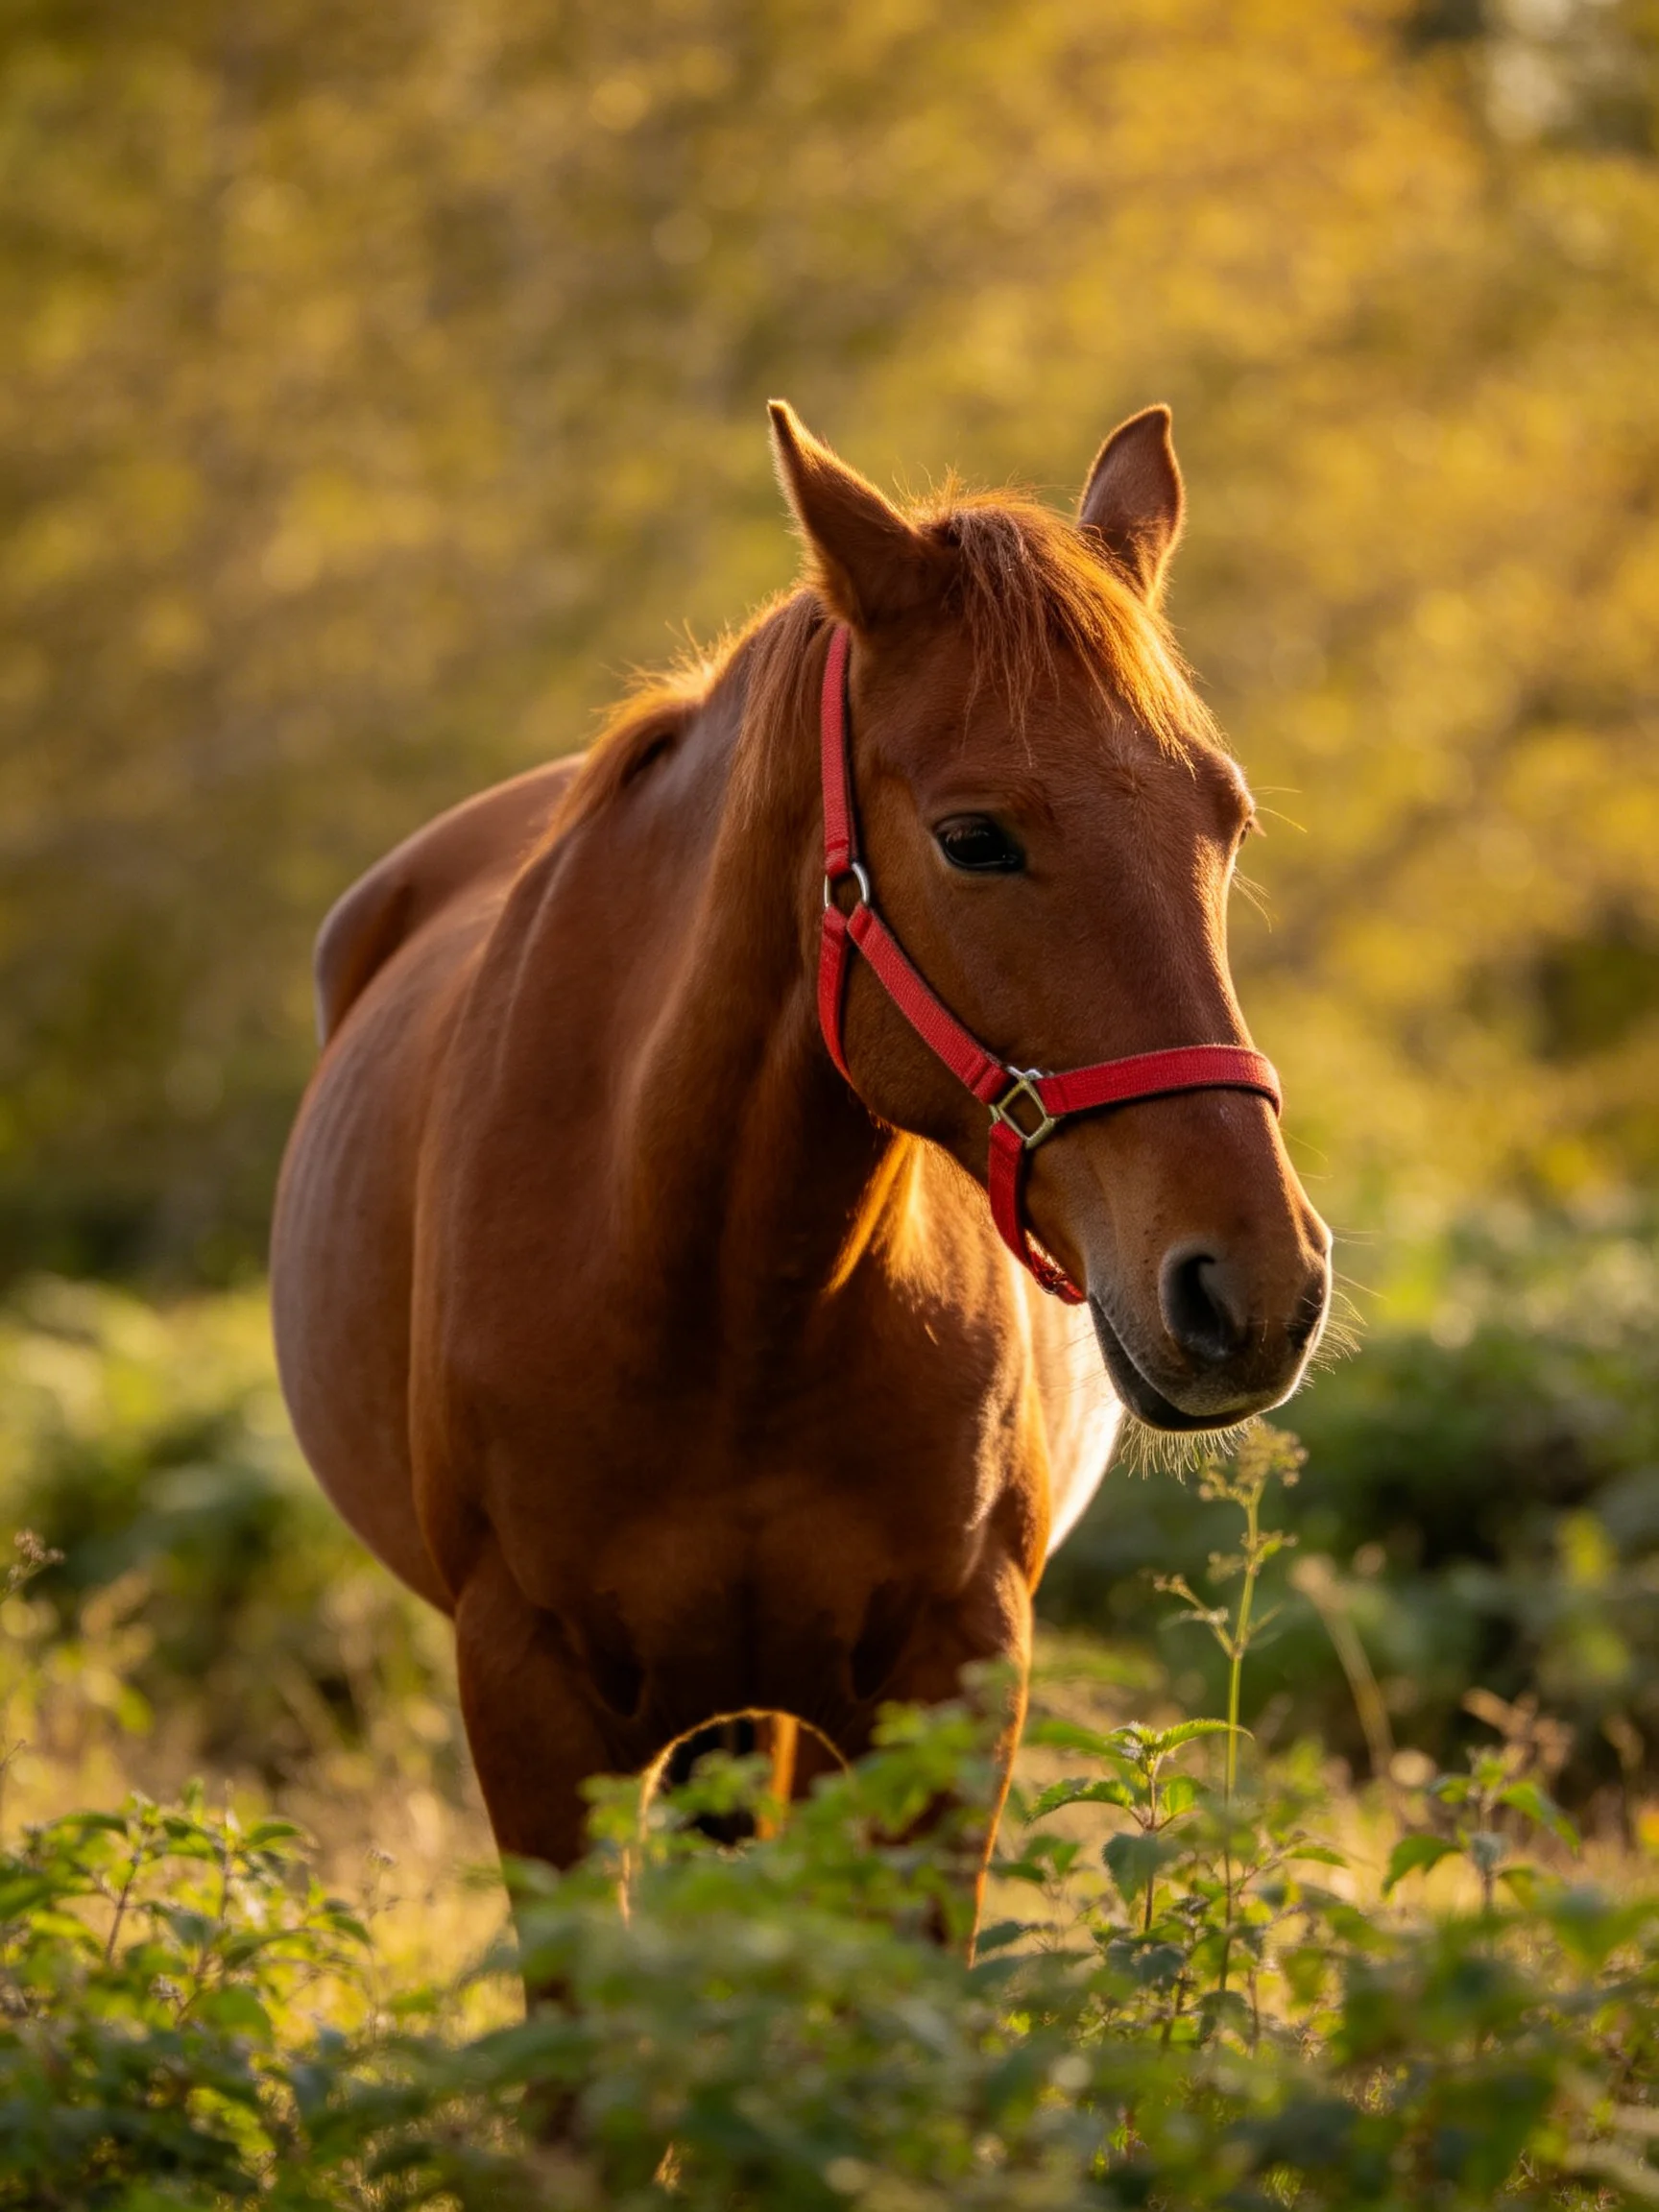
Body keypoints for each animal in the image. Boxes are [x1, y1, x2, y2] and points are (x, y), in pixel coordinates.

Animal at [270, 401, 1331, 1926]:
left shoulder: (943, 1691)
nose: (1253, 1289)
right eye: (974, 838)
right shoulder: (531, 1704)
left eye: (1225, 823)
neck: (721, 1292)